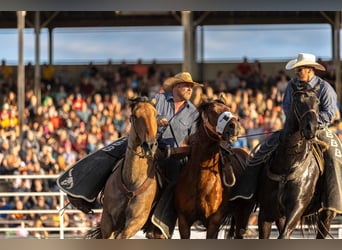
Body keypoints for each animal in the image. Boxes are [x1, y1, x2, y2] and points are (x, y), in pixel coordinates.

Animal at [87, 95, 159, 238]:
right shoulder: (107, 219)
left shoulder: (136, 221)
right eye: (135, 116)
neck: (132, 181)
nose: (150, 145)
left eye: (156, 115)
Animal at [175, 99, 255, 238]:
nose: (234, 125)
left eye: (229, 108)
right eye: (213, 111)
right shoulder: (183, 221)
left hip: (243, 213)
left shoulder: (214, 221)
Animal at [254, 82, 332, 238]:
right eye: (298, 101)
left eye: (318, 102)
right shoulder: (265, 213)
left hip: (326, 215)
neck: (288, 163)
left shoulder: (297, 208)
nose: (311, 128)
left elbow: (284, 234)